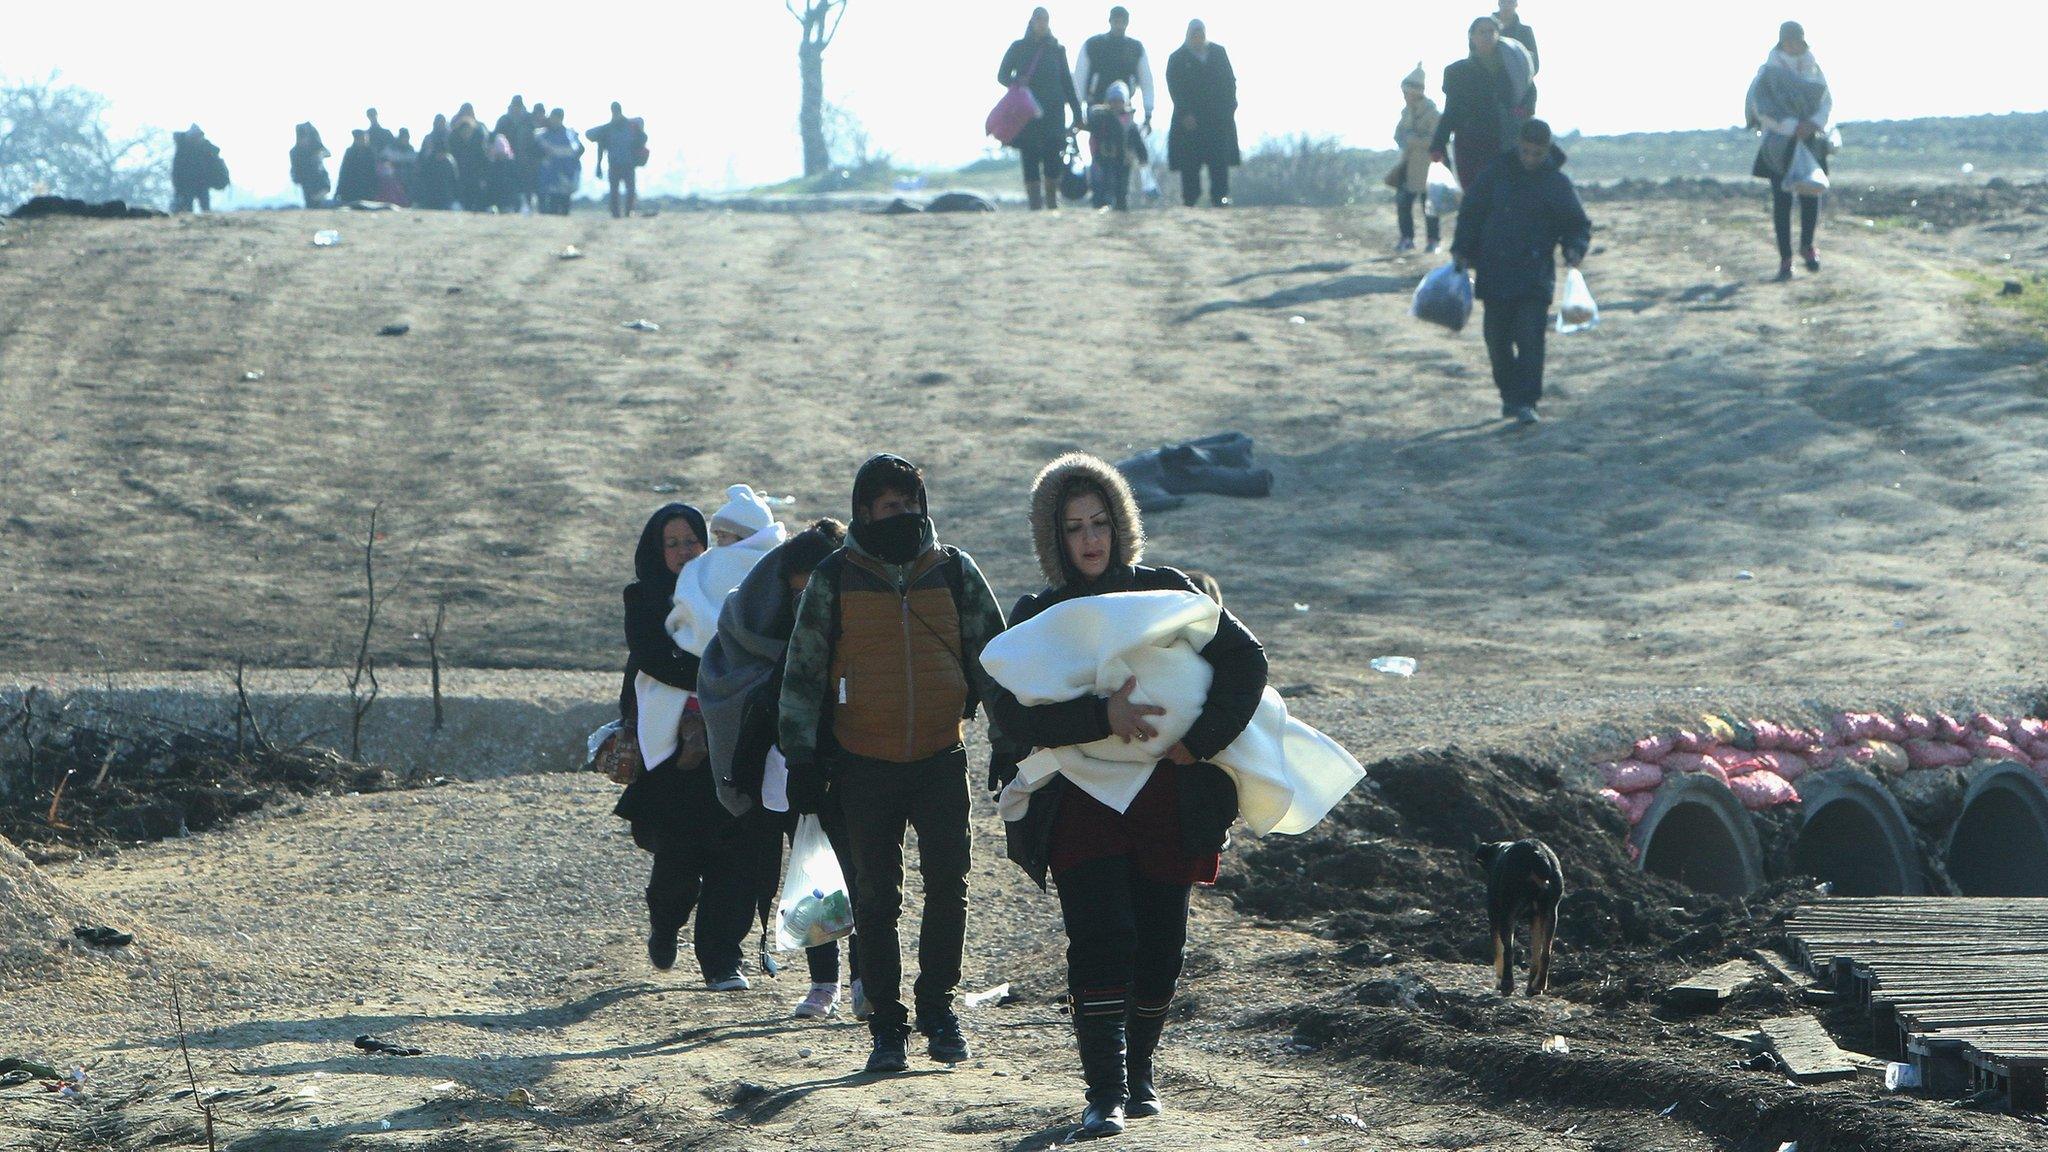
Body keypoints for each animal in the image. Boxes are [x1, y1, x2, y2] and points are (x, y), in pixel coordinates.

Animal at [1482, 832, 1556, 996]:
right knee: (1544, 953)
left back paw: (1507, 985)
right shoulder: (1536, 918)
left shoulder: (1495, 916)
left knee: (1508, 951)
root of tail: (1537, 855)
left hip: (1507, 914)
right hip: (1550, 914)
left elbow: (1498, 950)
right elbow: (1536, 953)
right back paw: (1537, 986)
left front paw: (1499, 981)